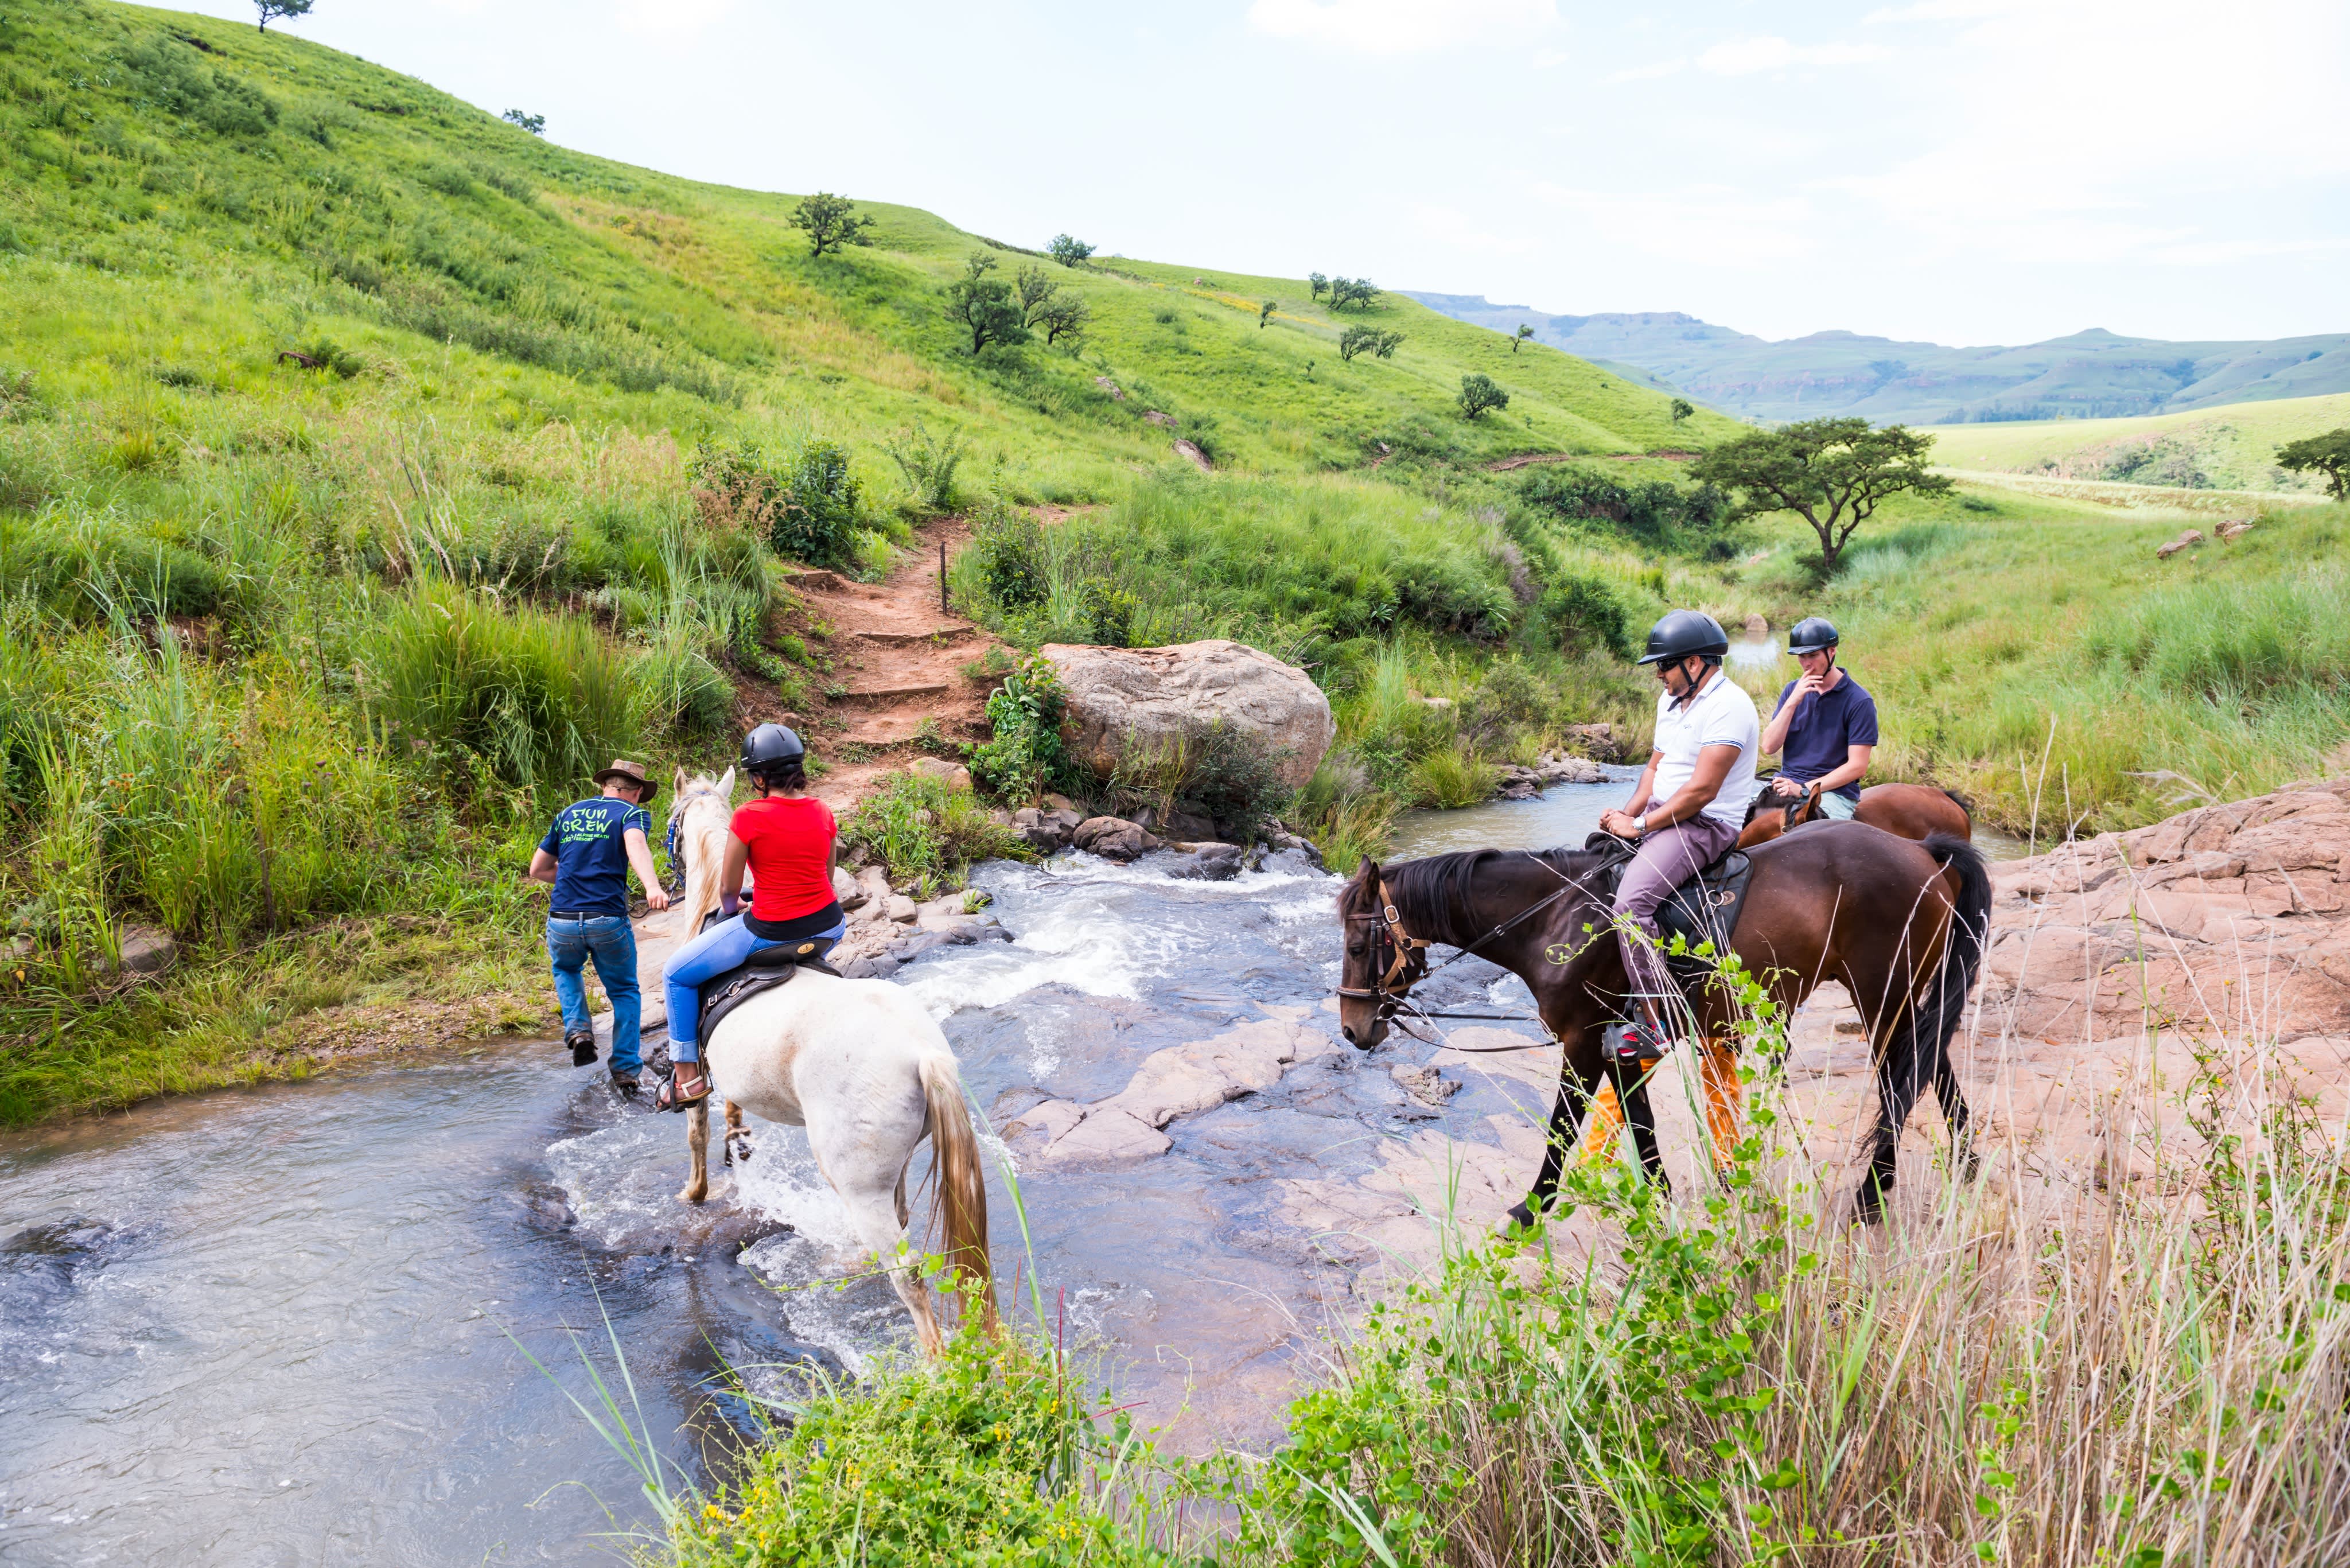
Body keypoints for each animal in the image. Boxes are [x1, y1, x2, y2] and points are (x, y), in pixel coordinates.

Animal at [663, 766, 1001, 1354]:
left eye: (673, 824)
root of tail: (922, 1052)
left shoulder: (698, 1069)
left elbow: (696, 1127)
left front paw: (696, 1191)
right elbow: (728, 1113)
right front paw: (736, 1139)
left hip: (859, 1183)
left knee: (908, 1274)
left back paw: (934, 1362)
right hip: (896, 1164)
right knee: (902, 1222)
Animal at [1344, 823, 1983, 1222]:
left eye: (1355, 944)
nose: (1352, 1029)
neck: (1556, 916)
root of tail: (1923, 850)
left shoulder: (1582, 1042)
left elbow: (1562, 1126)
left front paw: (1532, 1207)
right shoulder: (1619, 1044)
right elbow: (1640, 1120)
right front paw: (1660, 1196)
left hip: (1882, 994)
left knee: (1901, 1079)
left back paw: (1874, 1194)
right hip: (1898, 995)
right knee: (1931, 1067)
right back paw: (1963, 1166)